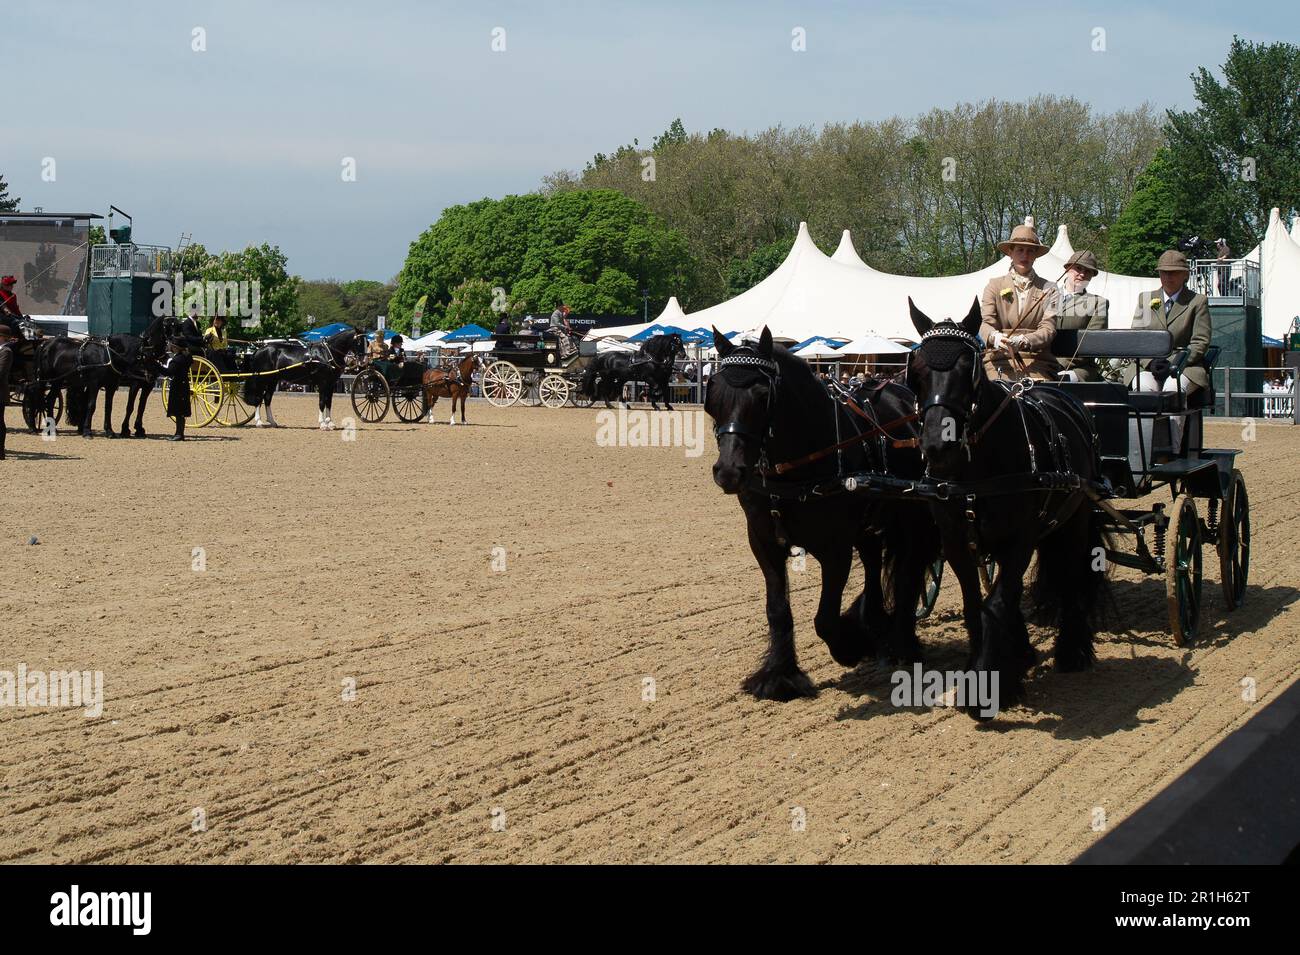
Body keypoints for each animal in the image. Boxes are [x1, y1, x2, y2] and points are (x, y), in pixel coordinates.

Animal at [707, 328, 941, 701]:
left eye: (762, 395)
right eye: (713, 393)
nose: (729, 472)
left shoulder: (836, 549)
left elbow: (824, 618)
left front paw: (850, 647)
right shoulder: (763, 542)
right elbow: (777, 610)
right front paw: (779, 676)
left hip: (913, 519)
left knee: (910, 570)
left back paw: (901, 644)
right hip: (869, 522)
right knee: (875, 562)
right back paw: (874, 622)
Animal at [904, 298, 1107, 717]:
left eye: (968, 371)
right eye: (916, 372)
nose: (937, 446)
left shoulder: (1020, 539)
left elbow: (996, 604)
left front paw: (990, 688)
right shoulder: (956, 543)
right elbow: (974, 604)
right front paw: (984, 669)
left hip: (1075, 518)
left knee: (1071, 577)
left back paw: (1072, 651)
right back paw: (1023, 651)